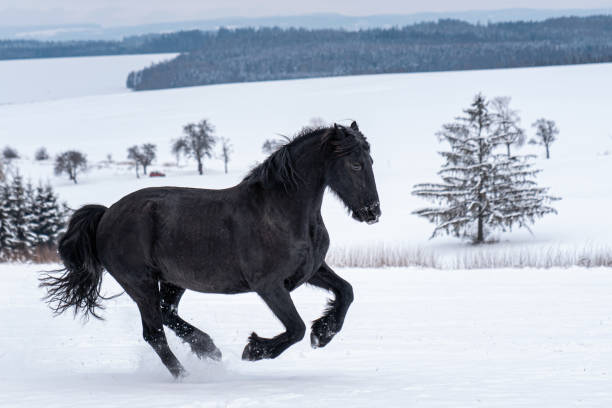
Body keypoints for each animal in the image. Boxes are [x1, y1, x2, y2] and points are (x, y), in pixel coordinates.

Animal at [40, 120, 378, 376]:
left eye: (371, 161)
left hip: (172, 280)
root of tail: (107, 214)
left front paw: (323, 332)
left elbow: (346, 292)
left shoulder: (311, 270)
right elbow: (294, 328)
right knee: (155, 334)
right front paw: (254, 349)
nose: (373, 212)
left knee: (167, 314)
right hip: (140, 283)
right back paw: (187, 375)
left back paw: (207, 348)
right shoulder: (269, 285)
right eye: (355, 163)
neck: (282, 212)